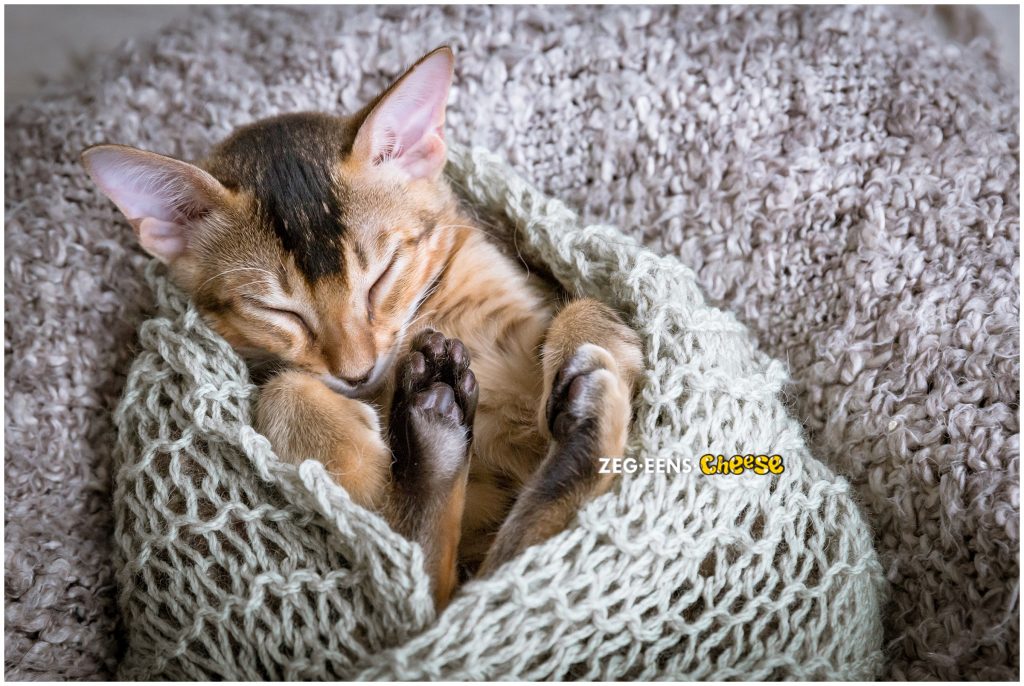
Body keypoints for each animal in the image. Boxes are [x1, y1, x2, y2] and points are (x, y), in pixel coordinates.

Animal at [83, 47, 638, 606]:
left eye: (382, 276)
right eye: (278, 311)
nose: (357, 372)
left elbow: (582, 303)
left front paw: (602, 340)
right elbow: (285, 392)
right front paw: (360, 465)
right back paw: (442, 436)